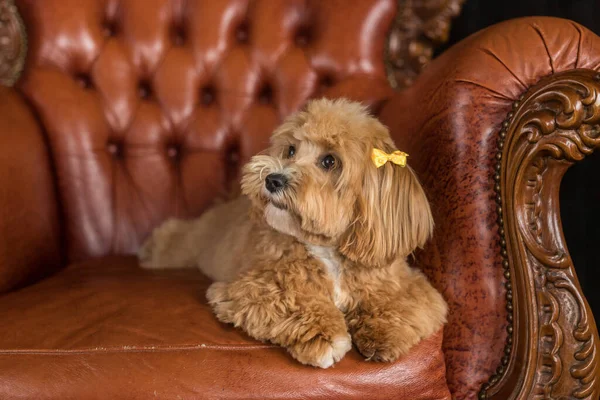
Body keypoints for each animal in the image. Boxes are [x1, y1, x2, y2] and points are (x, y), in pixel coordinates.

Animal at [139, 98, 446, 368]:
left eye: (329, 161)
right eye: (290, 150)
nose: (272, 179)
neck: (326, 250)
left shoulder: (402, 282)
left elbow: (401, 302)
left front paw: (382, 332)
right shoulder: (246, 288)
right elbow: (294, 298)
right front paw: (326, 334)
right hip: (191, 244)